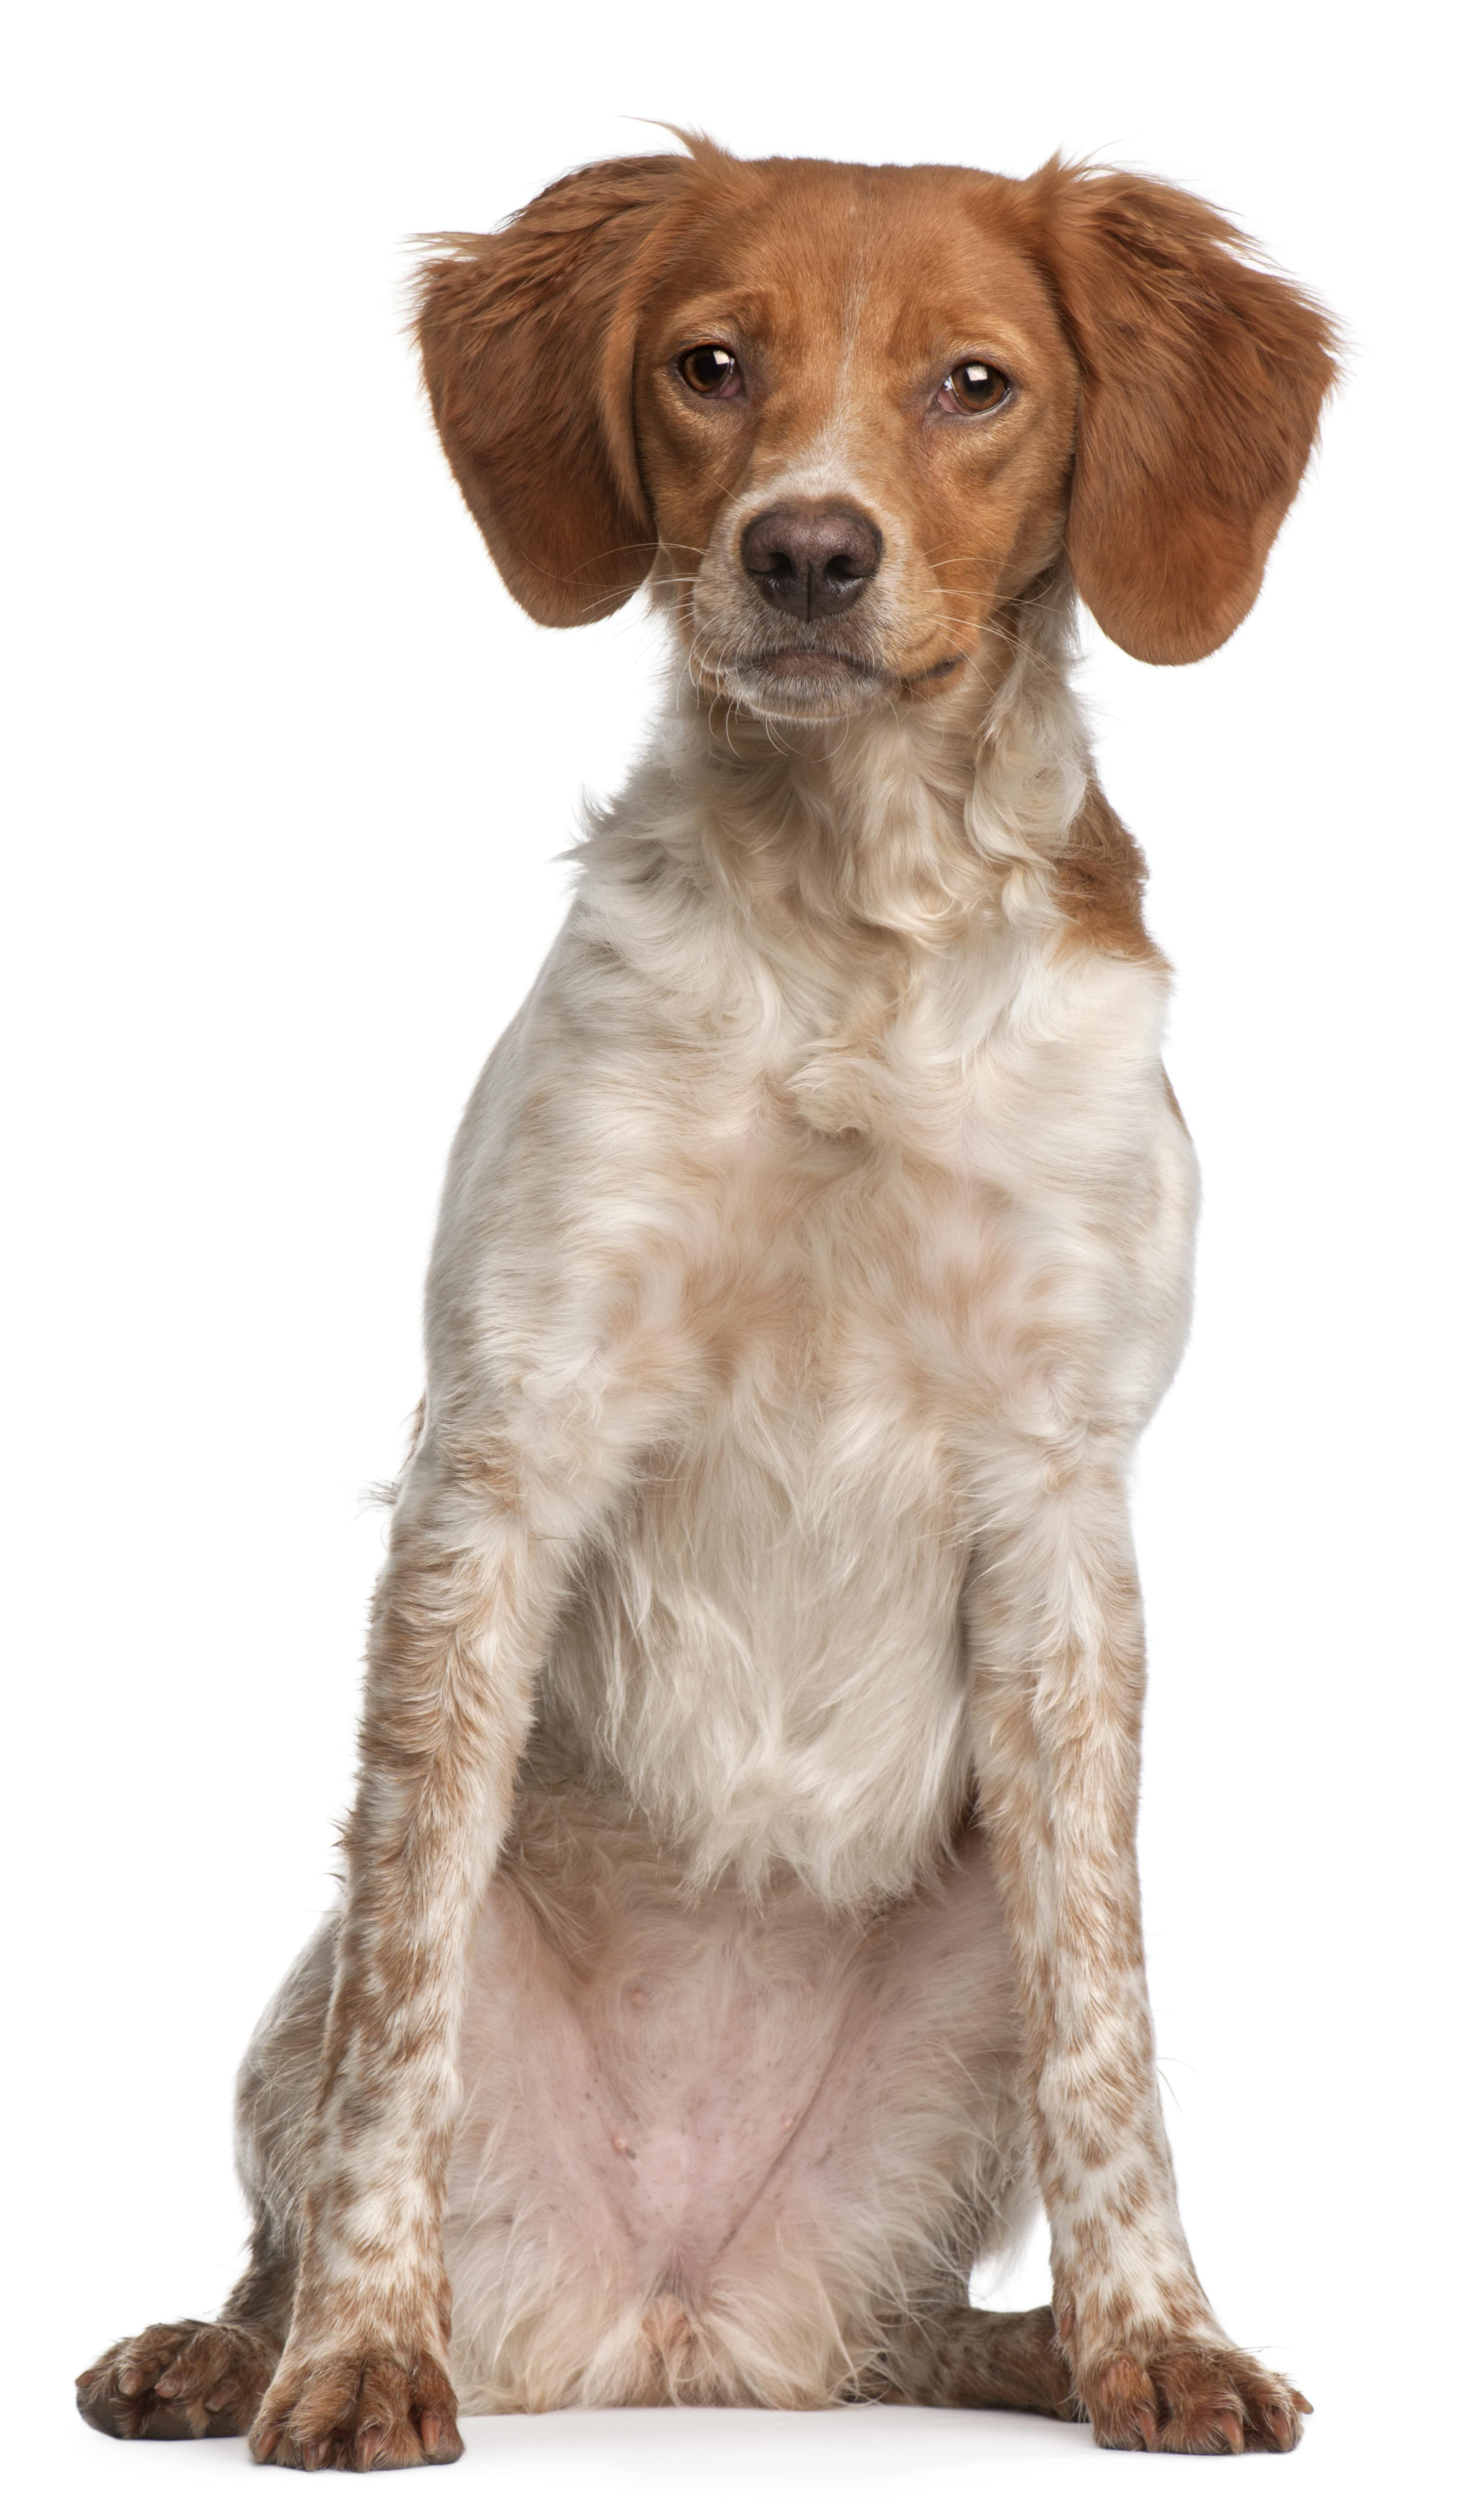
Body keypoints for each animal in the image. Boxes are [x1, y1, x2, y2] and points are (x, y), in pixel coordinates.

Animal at [74, 133, 1330, 2459]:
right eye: (710, 366)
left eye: (974, 382)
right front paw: (354, 2353)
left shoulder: (1061, 1507)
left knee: (917, 2308)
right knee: (323, 2115)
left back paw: (1035, 2347)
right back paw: (229, 2342)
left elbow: (1116, 2032)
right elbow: (399, 2039)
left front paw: (1162, 2334)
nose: (807, 551)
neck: (853, 925)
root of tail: (674, 2326)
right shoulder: (499, 1459)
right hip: (312, 1971)